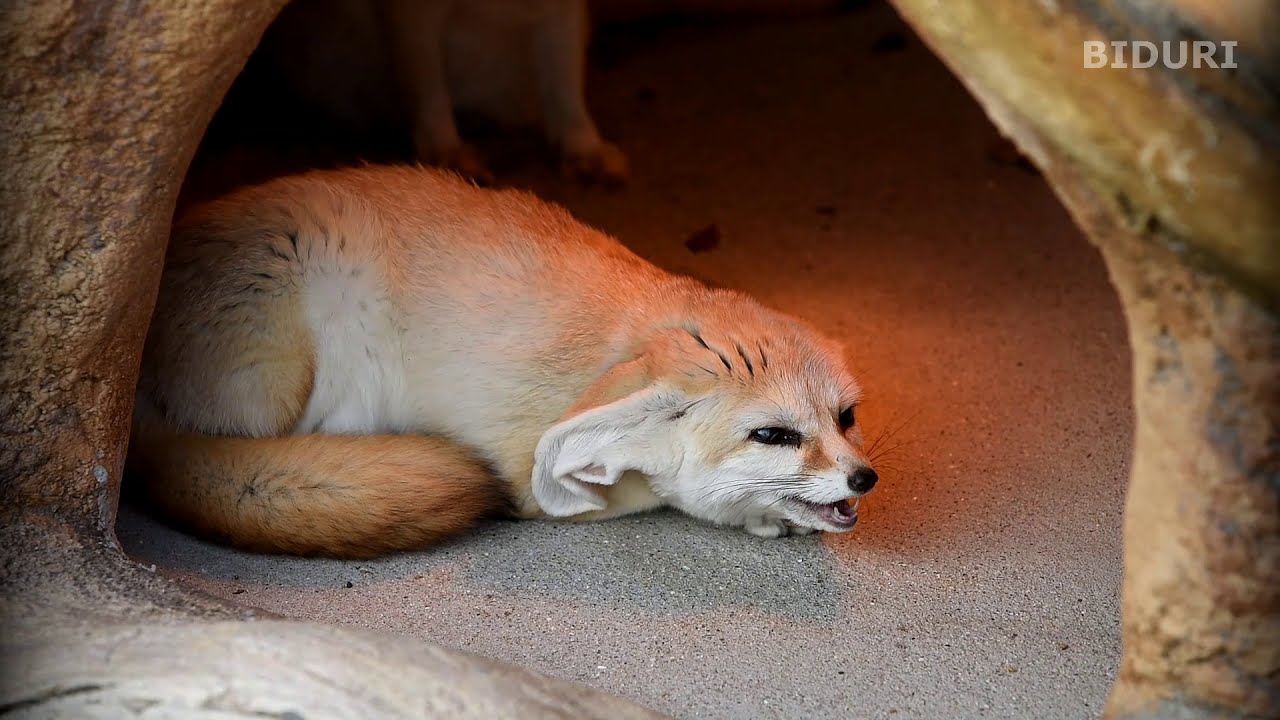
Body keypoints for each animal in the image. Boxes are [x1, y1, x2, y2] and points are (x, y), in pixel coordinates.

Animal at [128, 164, 878, 559]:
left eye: (846, 417)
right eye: (773, 435)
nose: (864, 478)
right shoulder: (531, 471)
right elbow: (646, 494)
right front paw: (756, 514)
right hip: (295, 362)